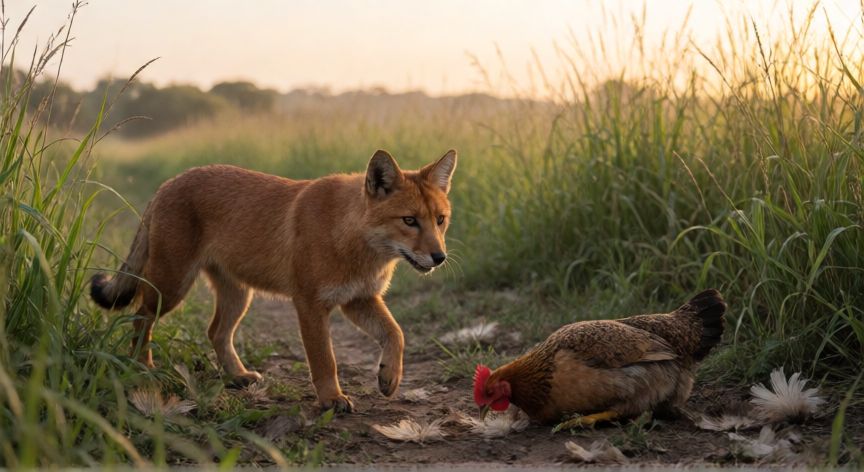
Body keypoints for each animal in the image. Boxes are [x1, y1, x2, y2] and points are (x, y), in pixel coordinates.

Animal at [90, 149, 457, 412]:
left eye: (440, 220)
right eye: (409, 220)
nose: (439, 257)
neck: (353, 239)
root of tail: (168, 184)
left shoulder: (358, 300)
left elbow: (396, 334)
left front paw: (389, 377)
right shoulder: (310, 304)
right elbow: (325, 359)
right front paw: (331, 399)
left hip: (238, 295)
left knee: (215, 332)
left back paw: (238, 376)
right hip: (172, 286)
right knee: (140, 317)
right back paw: (144, 368)